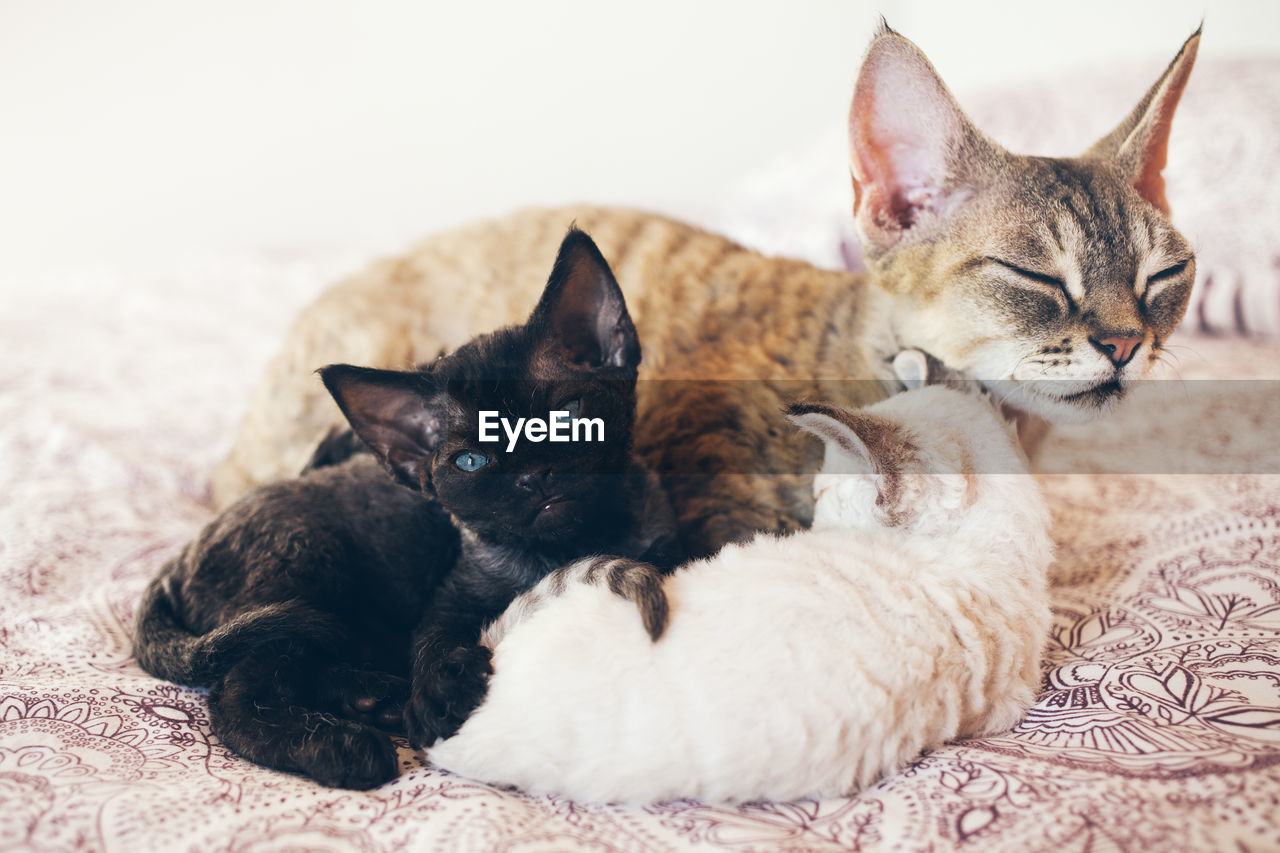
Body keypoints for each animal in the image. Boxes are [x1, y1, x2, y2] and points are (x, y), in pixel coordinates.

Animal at [132, 229, 680, 788]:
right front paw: (441, 690)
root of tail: (179, 559)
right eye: (471, 460)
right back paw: (341, 744)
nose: (532, 476)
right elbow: (433, 637)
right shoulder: (452, 593)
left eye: (567, 414)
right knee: (238, 693)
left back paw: (375, 699)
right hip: (303, 565)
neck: (561, 550)